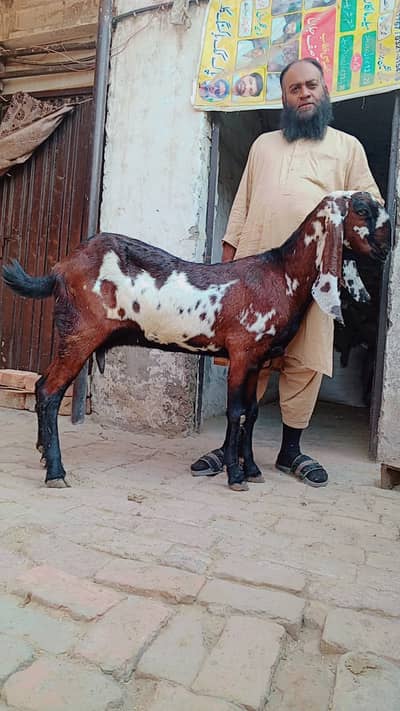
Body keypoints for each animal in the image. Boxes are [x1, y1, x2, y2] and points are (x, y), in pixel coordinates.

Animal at [2, 191, 390, 491]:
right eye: (362, 209)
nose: (387, 250)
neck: (280, 275)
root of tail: (60, 269)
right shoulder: (241, 352)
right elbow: (236, 412)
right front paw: (236, 476)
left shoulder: (258, 359)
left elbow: (251, 412)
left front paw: (252, 469)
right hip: (80, 333)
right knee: (50, 391)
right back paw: (56, 471)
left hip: (73, 335)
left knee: (40, 385)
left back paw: (43, 455)